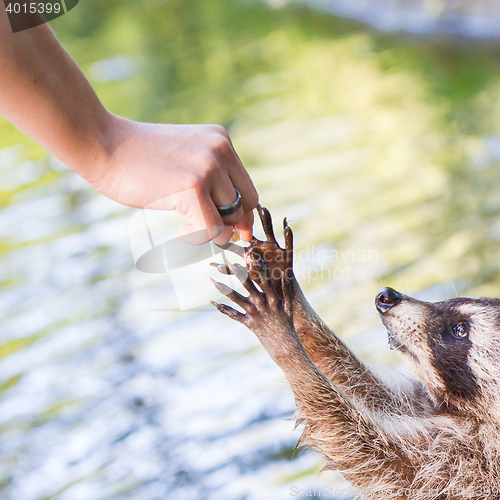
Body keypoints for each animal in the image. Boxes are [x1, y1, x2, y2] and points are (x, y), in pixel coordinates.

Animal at [211, 206, 500, 500]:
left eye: (459, 330)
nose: (387, 296)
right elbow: (375, 395)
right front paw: (289, 292)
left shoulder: (471, 469)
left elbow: (372, 454)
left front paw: (285, 345)